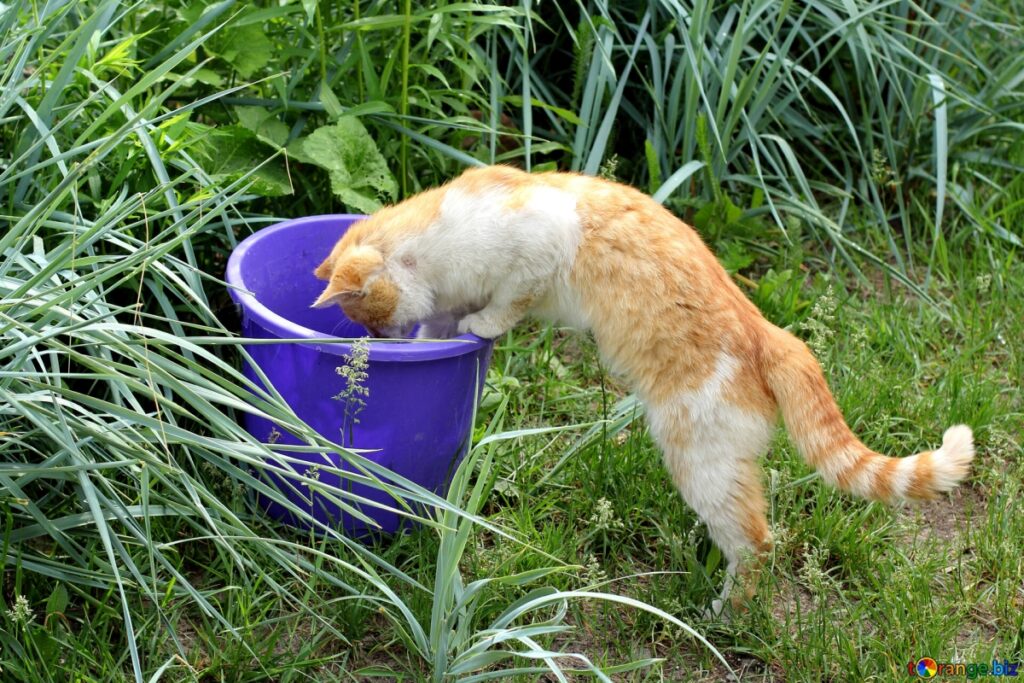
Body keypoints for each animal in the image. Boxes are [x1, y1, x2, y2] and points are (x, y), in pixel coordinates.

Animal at [311, 163, 974, 614]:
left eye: (368, 318)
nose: (377, 339)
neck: (439, 252)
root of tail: (769, 333)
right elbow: (447, 323)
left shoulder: (537, 250)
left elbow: (502, 307)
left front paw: (479, 326)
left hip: (698, 459)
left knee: (758, 541)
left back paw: (722, 614)